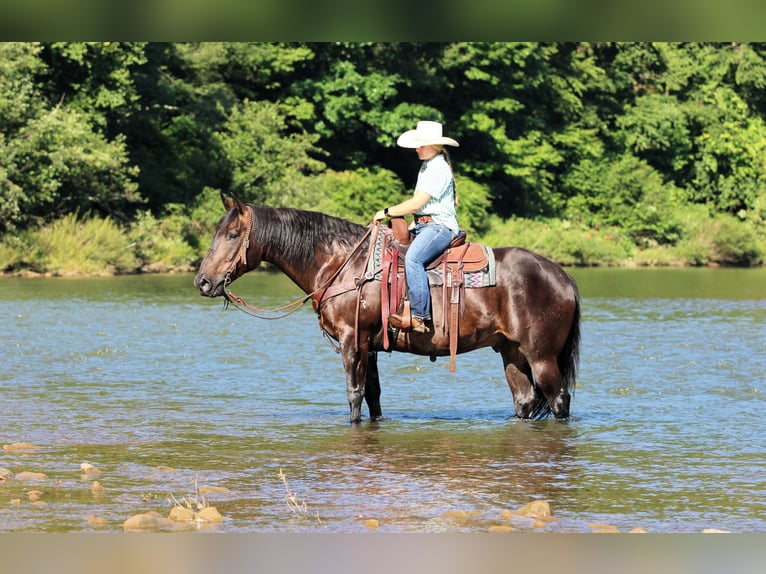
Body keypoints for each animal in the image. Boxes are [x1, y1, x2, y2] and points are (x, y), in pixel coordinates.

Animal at [194, 193, 581, 423]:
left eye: (232, 234)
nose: (202, 282)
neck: (345, 264)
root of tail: (563, 277)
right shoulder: (370, 346)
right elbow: (373, 397)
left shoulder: (352, 340)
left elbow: (354, 396)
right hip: (512, 353)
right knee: (525, 401)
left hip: (542, 356)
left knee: (559, 400)